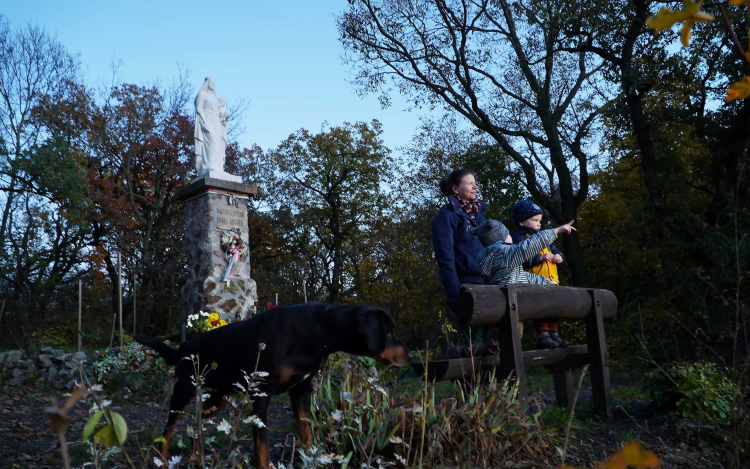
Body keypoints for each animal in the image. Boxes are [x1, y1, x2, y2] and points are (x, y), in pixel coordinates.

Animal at [135, 302, 412, 466]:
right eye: (389, 332)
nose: (410, 354)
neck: (319, 329)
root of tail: (183, 347)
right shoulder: (261, 394)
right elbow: (262, 446)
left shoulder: (301, 392)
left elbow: (308, 437)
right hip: (183, 390)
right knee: (168, 430)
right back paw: (162, 459)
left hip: (218, 398)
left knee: (198, 419)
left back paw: (196, 455)